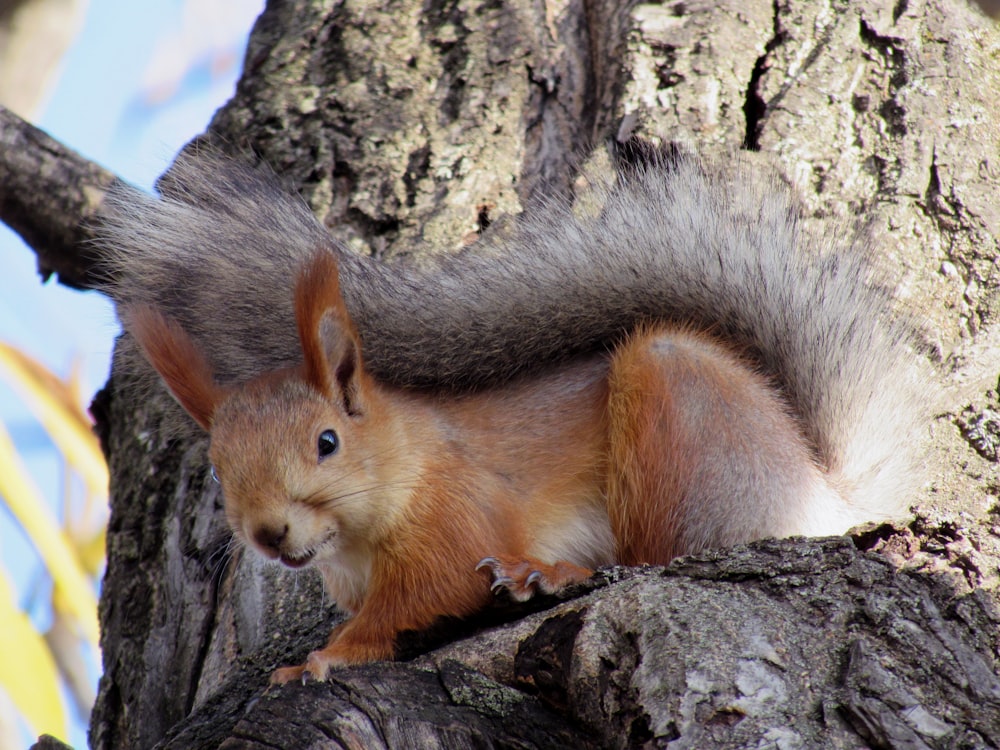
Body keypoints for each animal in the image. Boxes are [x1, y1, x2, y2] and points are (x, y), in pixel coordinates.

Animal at [101, 138, 928, 684]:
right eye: (218, 468)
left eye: (327, 441)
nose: (268, 534)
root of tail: (825, 492)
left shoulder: (456, 515)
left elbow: (418, 600)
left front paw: (319, 660)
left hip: (680, 420)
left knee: (657, 555)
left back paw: (550, 573)